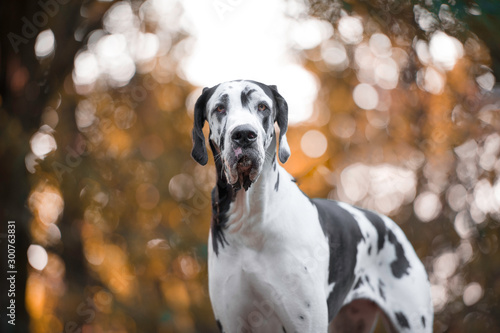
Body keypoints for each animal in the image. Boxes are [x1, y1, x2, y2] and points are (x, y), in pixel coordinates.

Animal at [189, 79, 432, 330]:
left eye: (263, 106)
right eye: (219, 108)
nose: (244, 135)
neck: (252, 219)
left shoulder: (306, 322)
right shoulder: (232, 322)